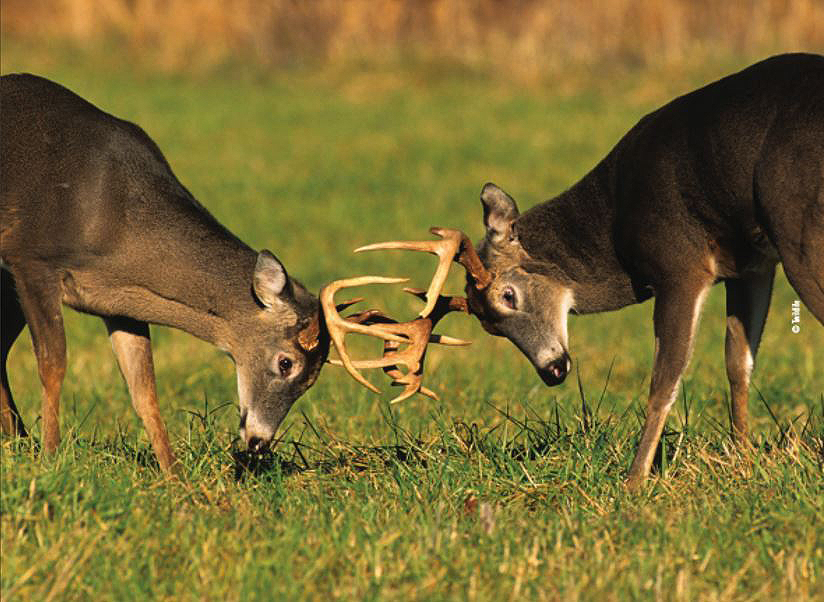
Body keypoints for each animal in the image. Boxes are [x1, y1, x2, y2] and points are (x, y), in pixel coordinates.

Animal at [350, 54, 824, 488]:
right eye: (489, 328)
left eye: (508, 295)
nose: (552, 371)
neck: (613, 221)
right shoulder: (751, 264)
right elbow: (738, 362)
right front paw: (742, 458)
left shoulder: (679, 263)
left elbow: (664, 380)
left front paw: (634, 482)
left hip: (798, 234)